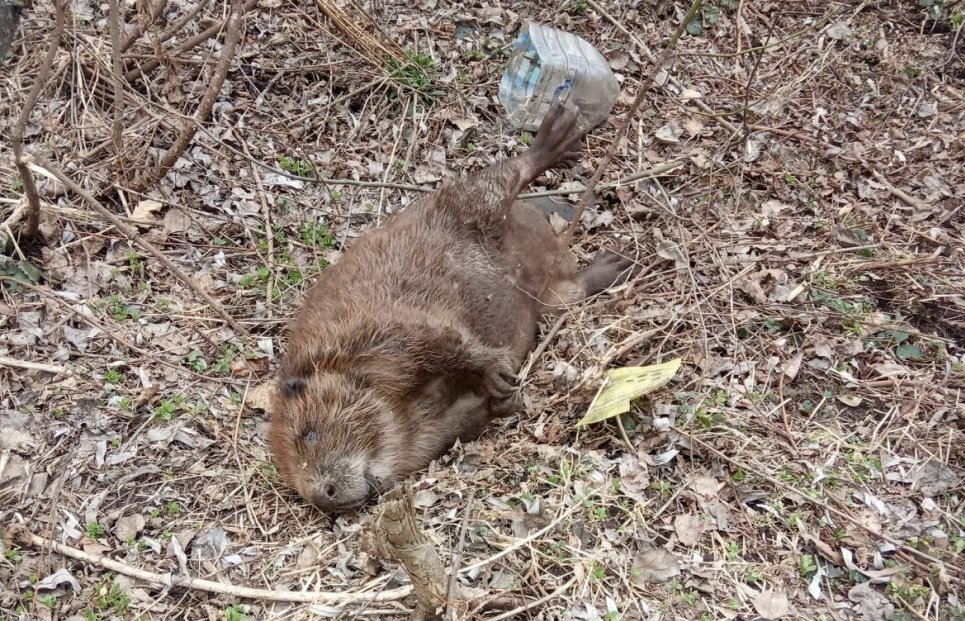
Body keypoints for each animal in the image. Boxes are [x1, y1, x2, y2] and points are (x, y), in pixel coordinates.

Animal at [272, 100, 632, 508]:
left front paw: (496, 376)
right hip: (547, 300)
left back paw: (559, 139)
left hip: (462, 206)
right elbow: (452, 425)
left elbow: (438, 342)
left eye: (309, 433)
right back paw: (610, 267)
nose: (326, 497)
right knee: (565, 295)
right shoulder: (418, 431)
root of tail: (548, 237)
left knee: (498, 179)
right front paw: (501, 401)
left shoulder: (370, 331)